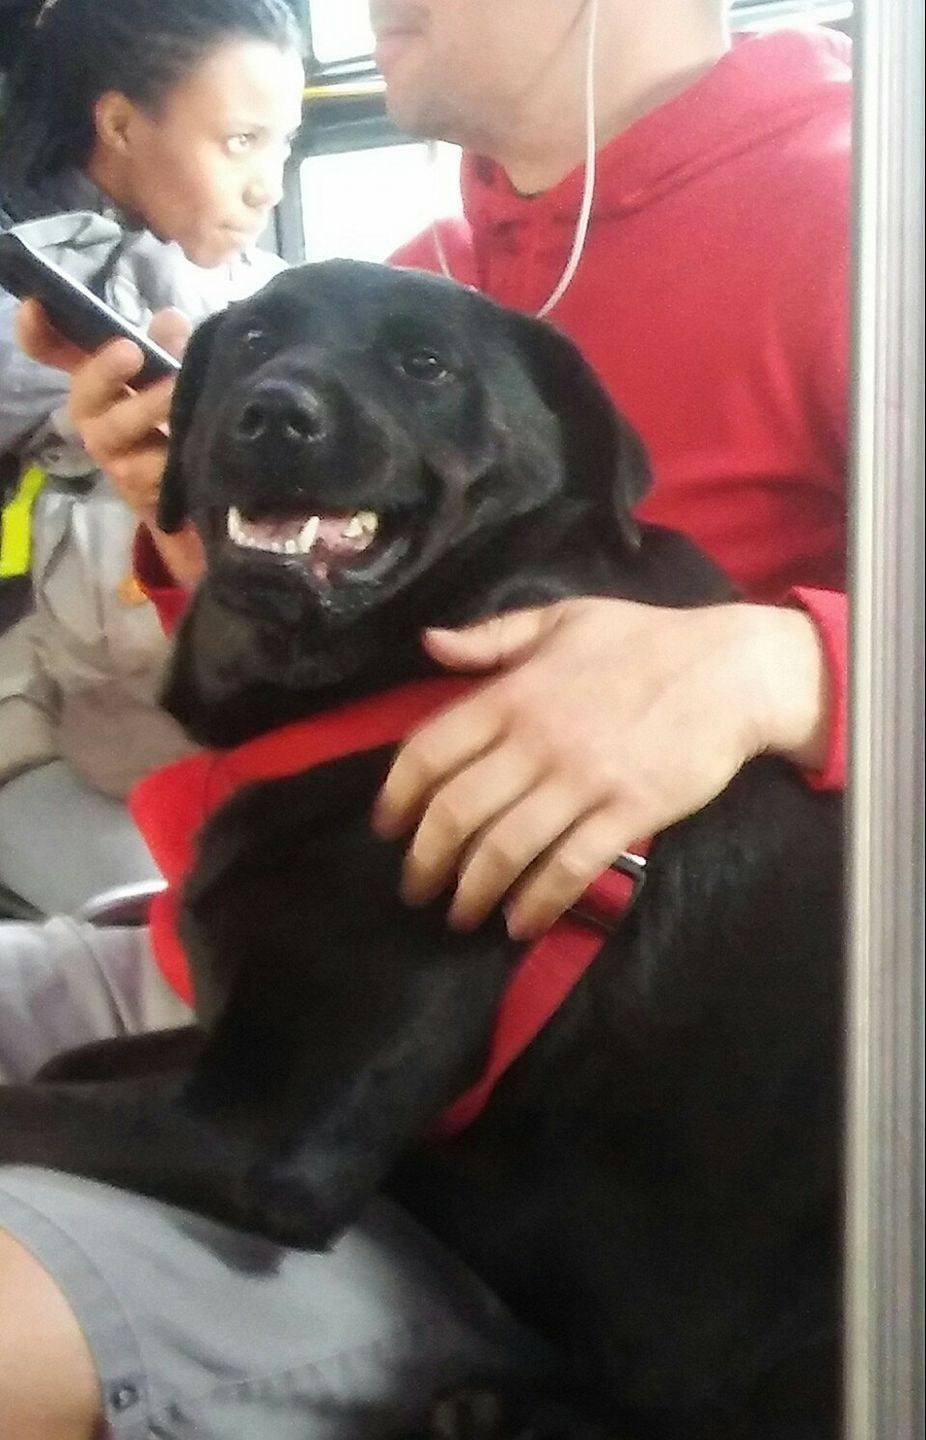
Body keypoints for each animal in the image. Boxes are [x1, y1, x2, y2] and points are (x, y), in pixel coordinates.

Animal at [0, 262, 846, 1440]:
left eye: (426, 365)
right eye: (252, 337)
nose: (274, 412)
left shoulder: (264, 1131)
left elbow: (21, 1103)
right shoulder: (226, 1055)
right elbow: (64, 1063)